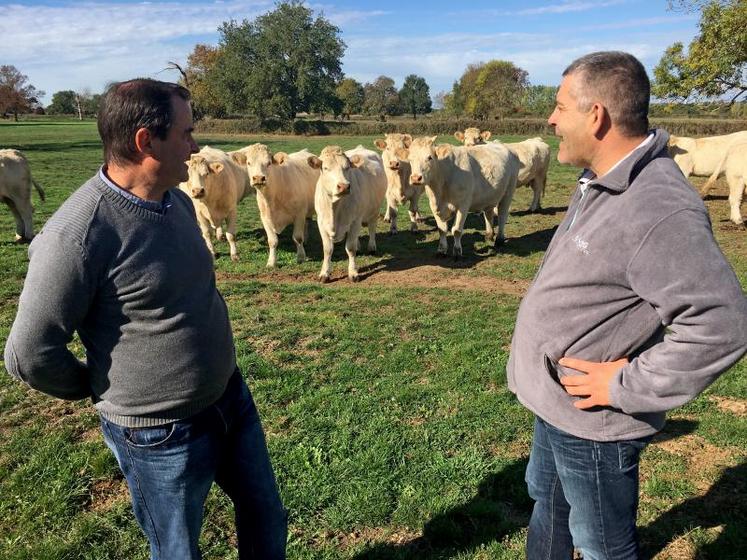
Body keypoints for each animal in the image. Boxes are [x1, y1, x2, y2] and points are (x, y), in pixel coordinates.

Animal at [310, 145, 388, 282]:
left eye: (347, 167)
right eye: (325, 168)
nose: (344, 186)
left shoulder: (355, 220)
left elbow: (350, 248)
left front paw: (353, 273)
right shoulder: (321, 222)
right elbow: (327, 249)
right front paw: (324, 273)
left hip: (374, 209)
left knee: (372, 227)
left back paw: (371, 247)